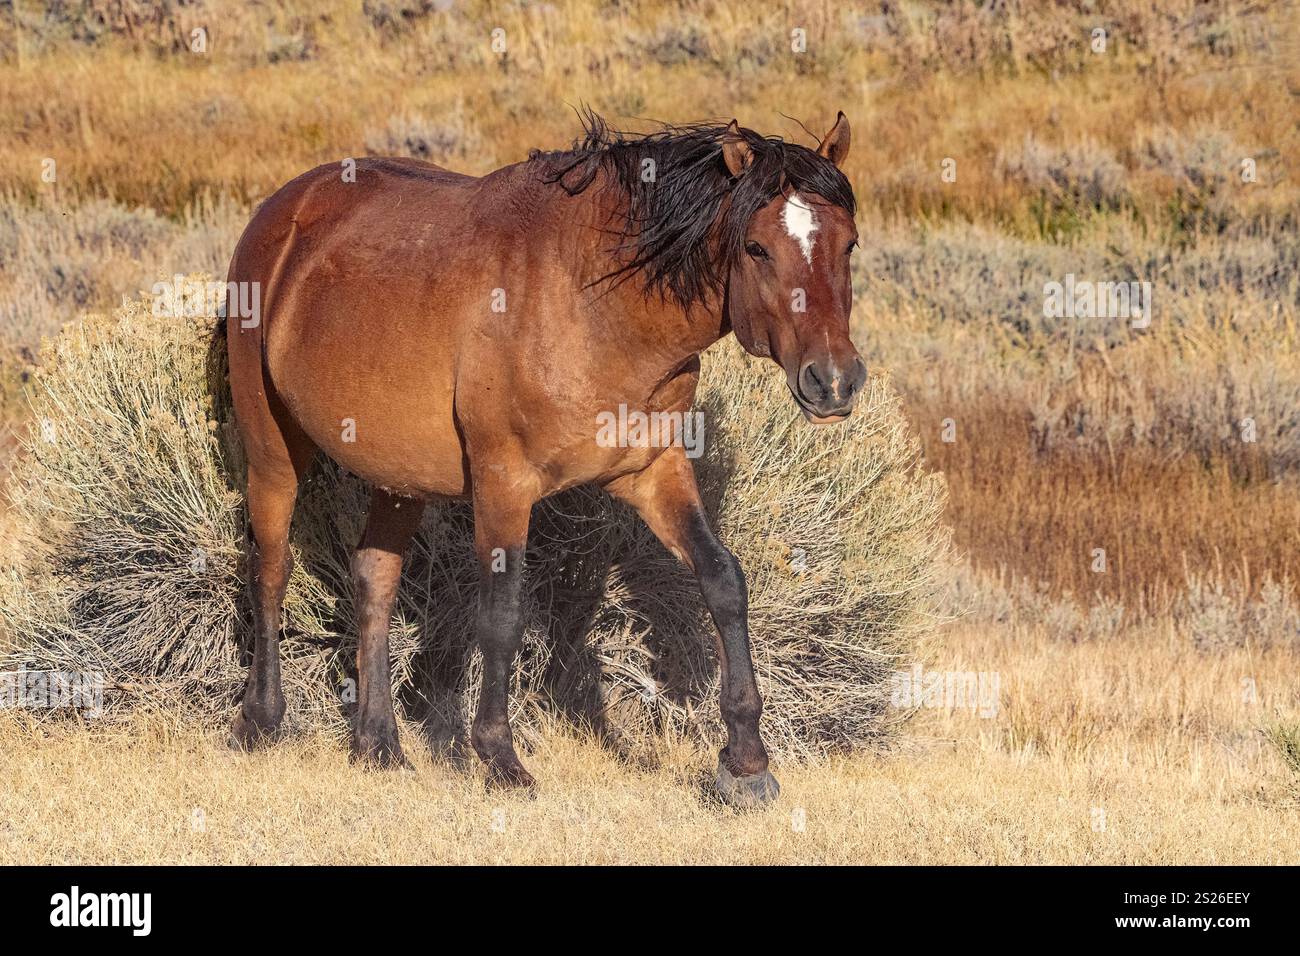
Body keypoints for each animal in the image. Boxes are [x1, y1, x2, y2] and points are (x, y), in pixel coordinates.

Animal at [225, 110, 865, 806]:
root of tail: (284, 211)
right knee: (270, 568)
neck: (594, 303)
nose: (833, 381)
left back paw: (379, 744)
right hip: (273, 448)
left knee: (374, 579)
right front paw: (500, 758)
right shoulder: (504, 483)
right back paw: (260, 719)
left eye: (849, 245)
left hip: (399, 477)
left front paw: (746, 762)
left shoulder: (653, 470)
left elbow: (722, 579)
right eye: (756, 248)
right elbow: (502, 614)